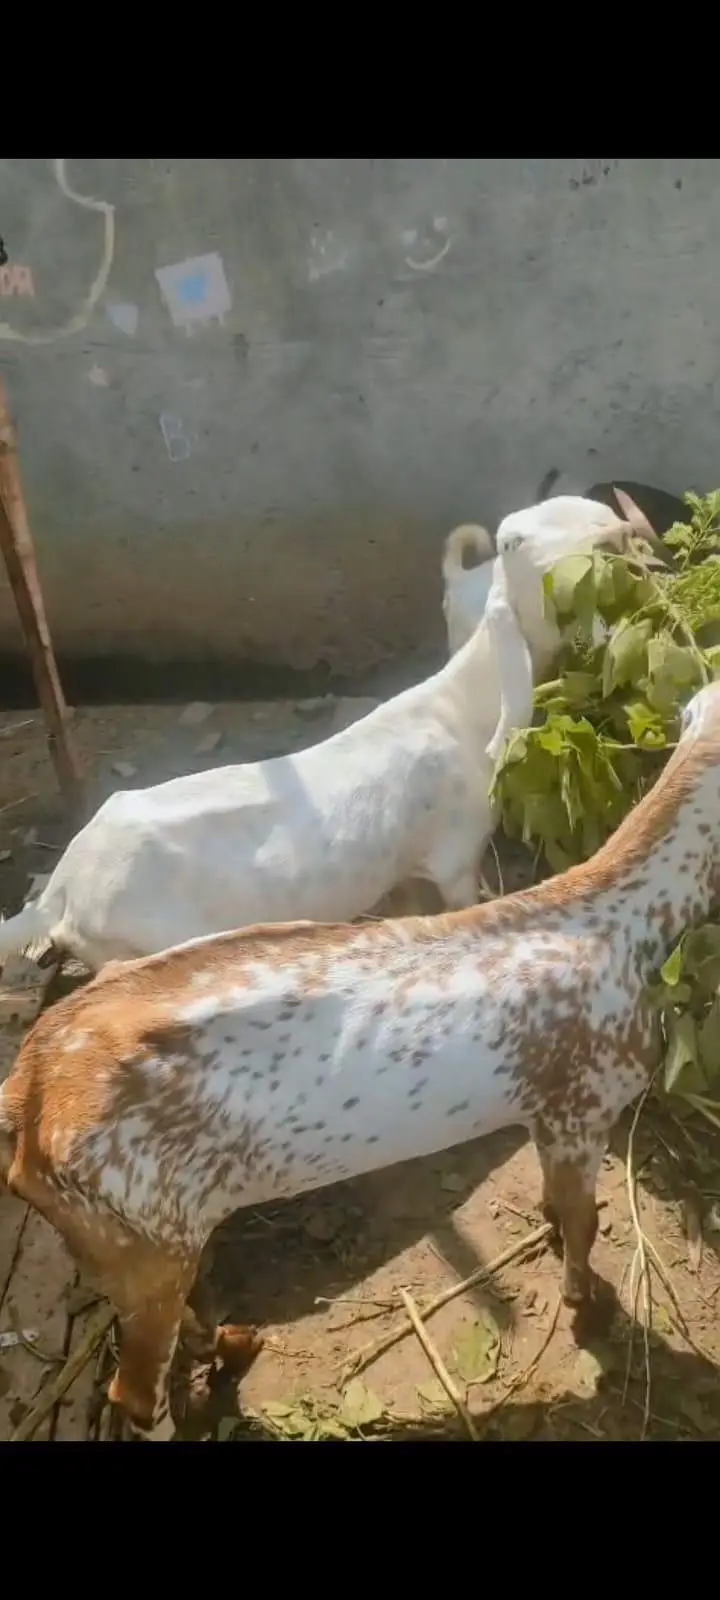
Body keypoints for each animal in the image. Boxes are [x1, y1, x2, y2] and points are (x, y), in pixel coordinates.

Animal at [3, 674, 719, 1439]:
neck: (619, 921)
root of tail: (28, 1091)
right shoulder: (583, 1106)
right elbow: (585, 1225)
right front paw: (586, 1304)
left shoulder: (546, 1118)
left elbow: (560, 1207)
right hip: (144, 1236)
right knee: (133, 1392)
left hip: (131, 1242)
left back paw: (235, 1344)